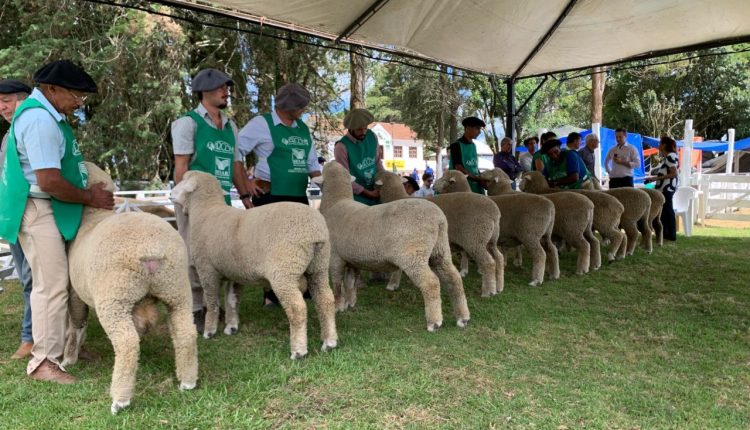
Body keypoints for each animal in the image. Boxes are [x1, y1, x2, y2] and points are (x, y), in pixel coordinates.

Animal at [64, 161, 198, 414]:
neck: (92, 216)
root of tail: (151, 250)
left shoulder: (75, 292)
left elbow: (77, 323)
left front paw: (69, 358)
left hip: (114, 297)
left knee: (127, 344)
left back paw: (120, 400)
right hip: (176, 290)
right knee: (186, 333)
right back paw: (188, 381)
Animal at [170, 170, 338, 358]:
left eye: (183, 182)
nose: (170, 194)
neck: (205, 212)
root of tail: (314, 231)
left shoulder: (207, 270)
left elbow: (213, 303)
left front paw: (209, 331)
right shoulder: (234, 272)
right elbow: (232, 300)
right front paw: (231, 327)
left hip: (285, 271)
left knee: (297, 308)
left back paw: (299, 351)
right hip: (319, 266)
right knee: (326, 300)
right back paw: (329, 342)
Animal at [316, 160, 470, 330]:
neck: (335, 203)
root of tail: (439, 219)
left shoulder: (335, 257)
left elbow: (337, 285)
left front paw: (338, 306)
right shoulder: (351, 259)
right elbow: (351, 282)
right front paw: (350, 303)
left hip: (413, 255)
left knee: (431, 283)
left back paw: (434, 322)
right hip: (440, 250)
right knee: (454, 278)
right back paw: (462, 317)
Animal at [376, 170, 506, 298]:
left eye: (444, 179)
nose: (433, 186)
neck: (396, 196)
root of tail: (495, 212)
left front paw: (392, 284)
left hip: (476, 239)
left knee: (489, 263)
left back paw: (488, 292)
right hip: (490, 239)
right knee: (499, 257)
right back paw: (499, 287)